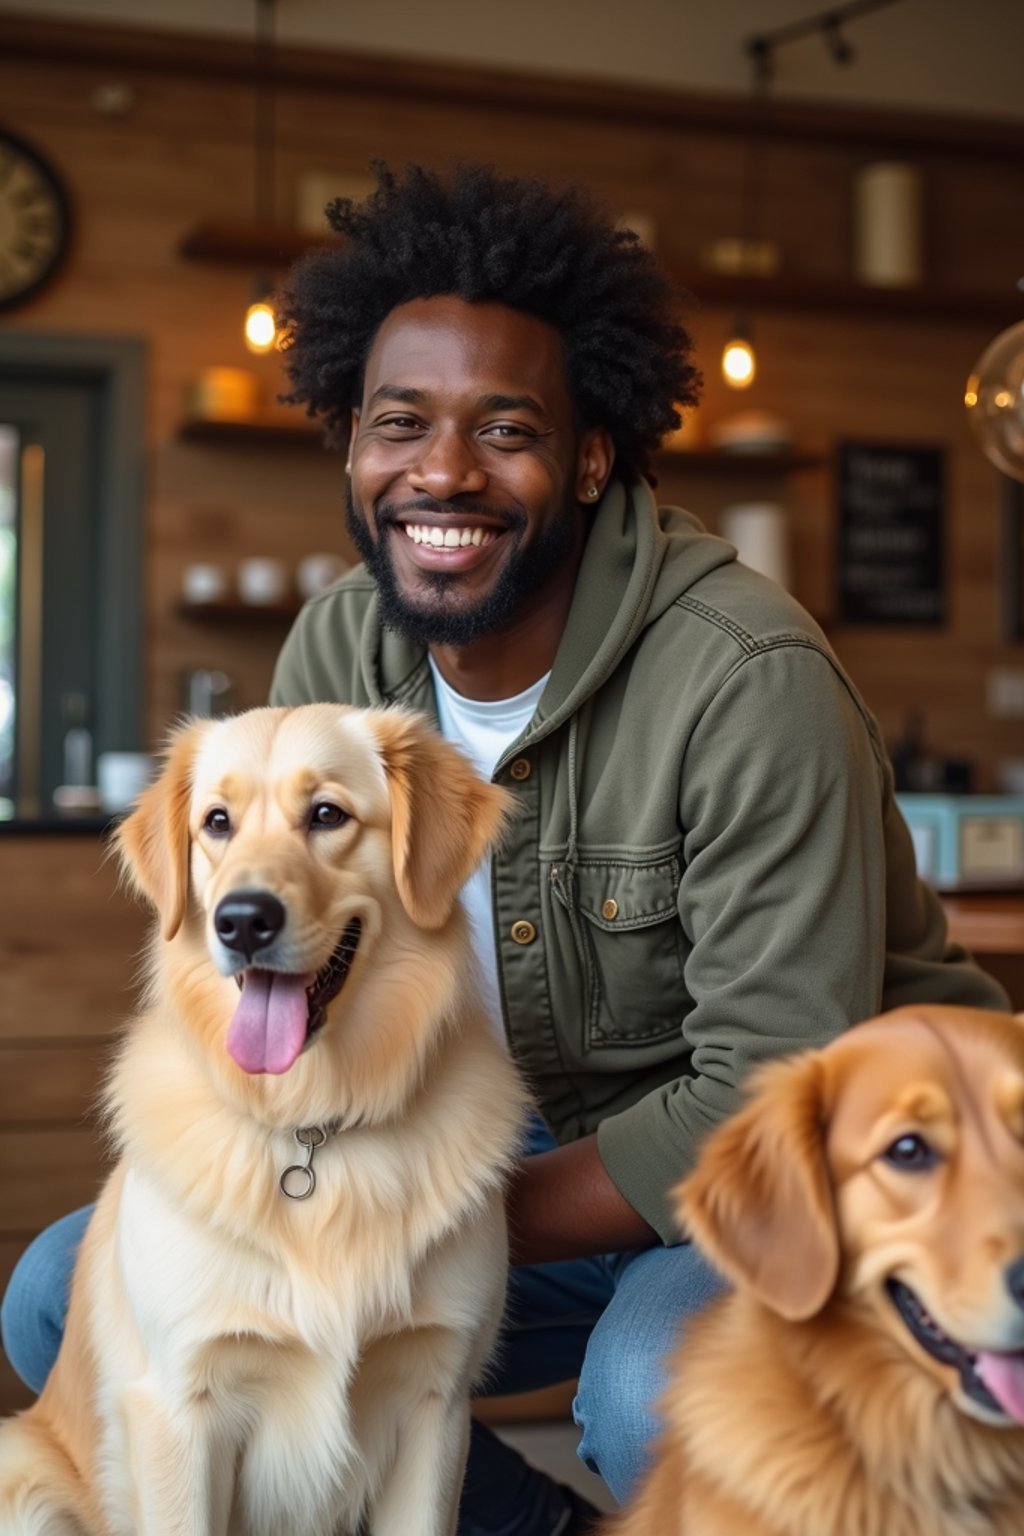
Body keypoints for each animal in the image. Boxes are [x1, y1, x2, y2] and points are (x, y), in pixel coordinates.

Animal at [0, 703, 528, 1536]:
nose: (241, 921)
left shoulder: (435, 1400)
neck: (312, 1125)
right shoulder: (181, 1407)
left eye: (327, 815)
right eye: (217, 822)